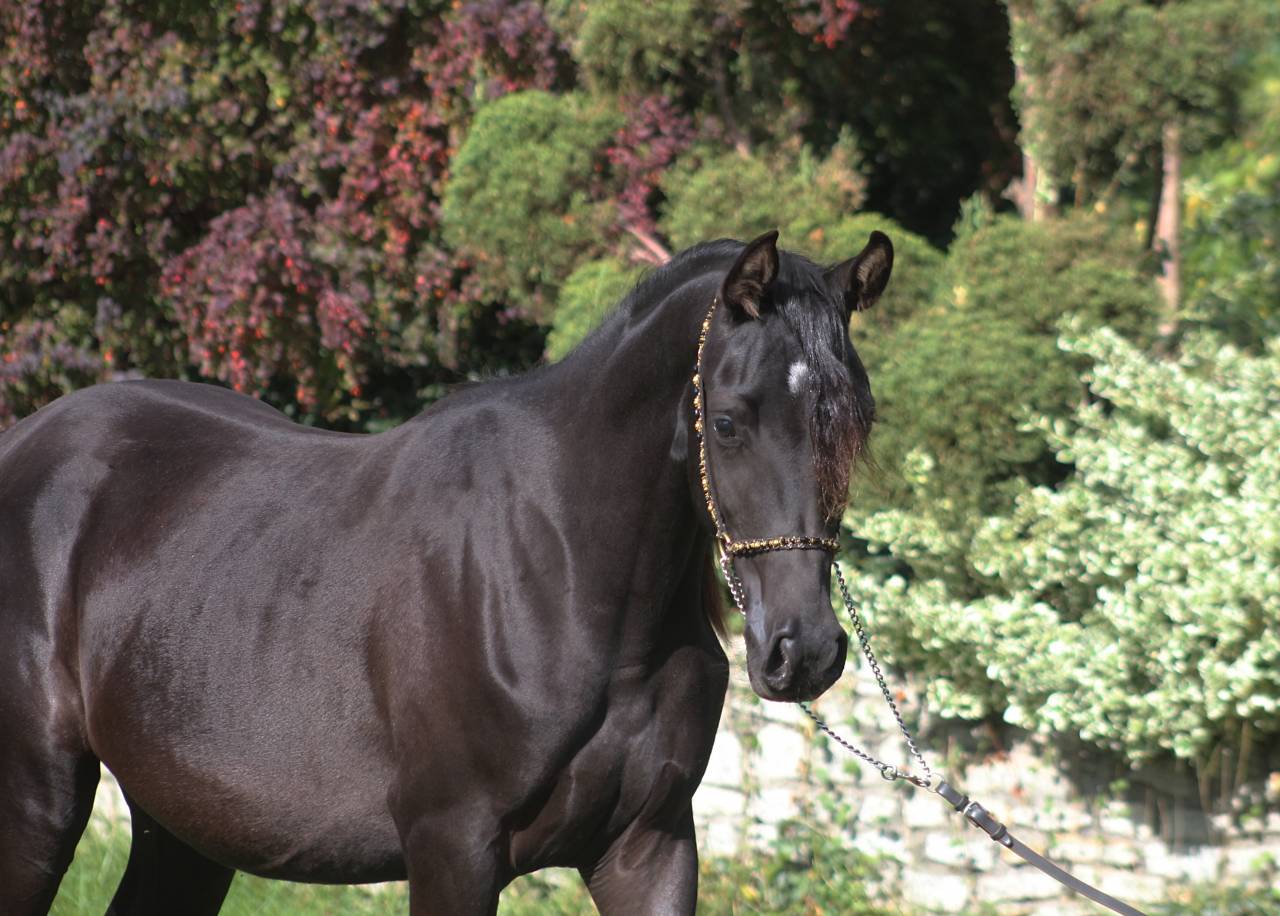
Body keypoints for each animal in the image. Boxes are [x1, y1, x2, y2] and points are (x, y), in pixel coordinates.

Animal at [0, 228, 892, 915]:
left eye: (857, 420)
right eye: (731, 420)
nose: (803, 651)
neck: (568, 574)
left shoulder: (650, 847)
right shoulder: (451, 847)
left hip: (183, 826)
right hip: (38, 806)